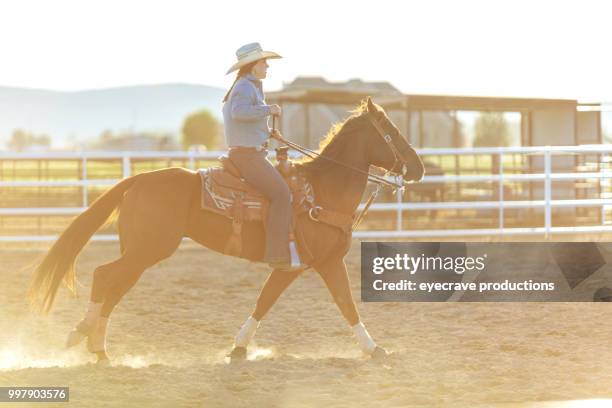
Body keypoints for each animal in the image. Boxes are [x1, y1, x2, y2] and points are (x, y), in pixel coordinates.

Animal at [28, 98, 426, 364]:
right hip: (147, 250)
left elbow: (268, 301)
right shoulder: (319, 263)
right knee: (104, 276)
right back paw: (86, 338)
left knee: (114, 285)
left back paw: (95, 345)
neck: (320, 191)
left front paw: (238, 347)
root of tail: (138, 178)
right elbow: (343, 304)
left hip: (139, 252)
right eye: (391, 131)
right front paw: (374, 348)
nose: (419, 167)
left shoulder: (302, 265)